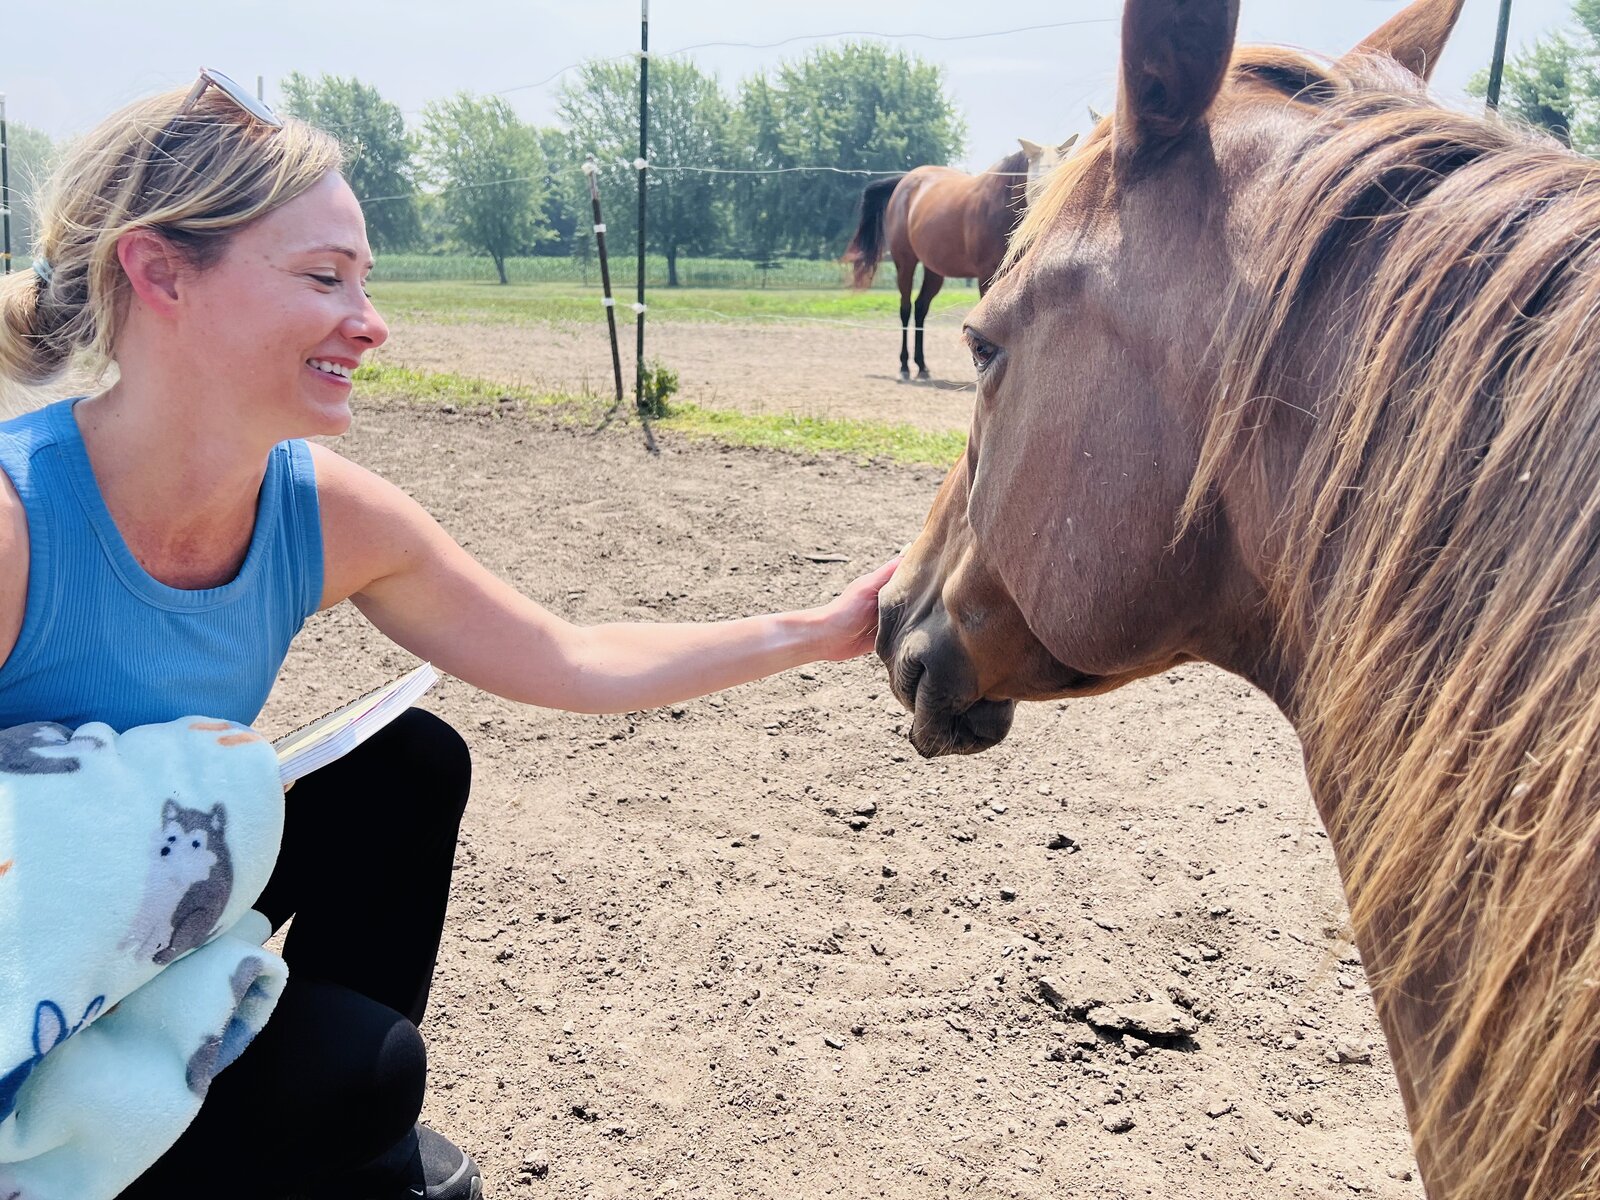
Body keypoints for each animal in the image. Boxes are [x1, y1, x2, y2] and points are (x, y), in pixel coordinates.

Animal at [843, 137, 1076, 382]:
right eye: (1039, 178)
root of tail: (904, 182)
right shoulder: (986, 275)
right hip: (905, 262)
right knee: (905, 309)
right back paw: (905, 367)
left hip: (934, 271)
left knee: (920, 308)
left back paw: (922, 366)